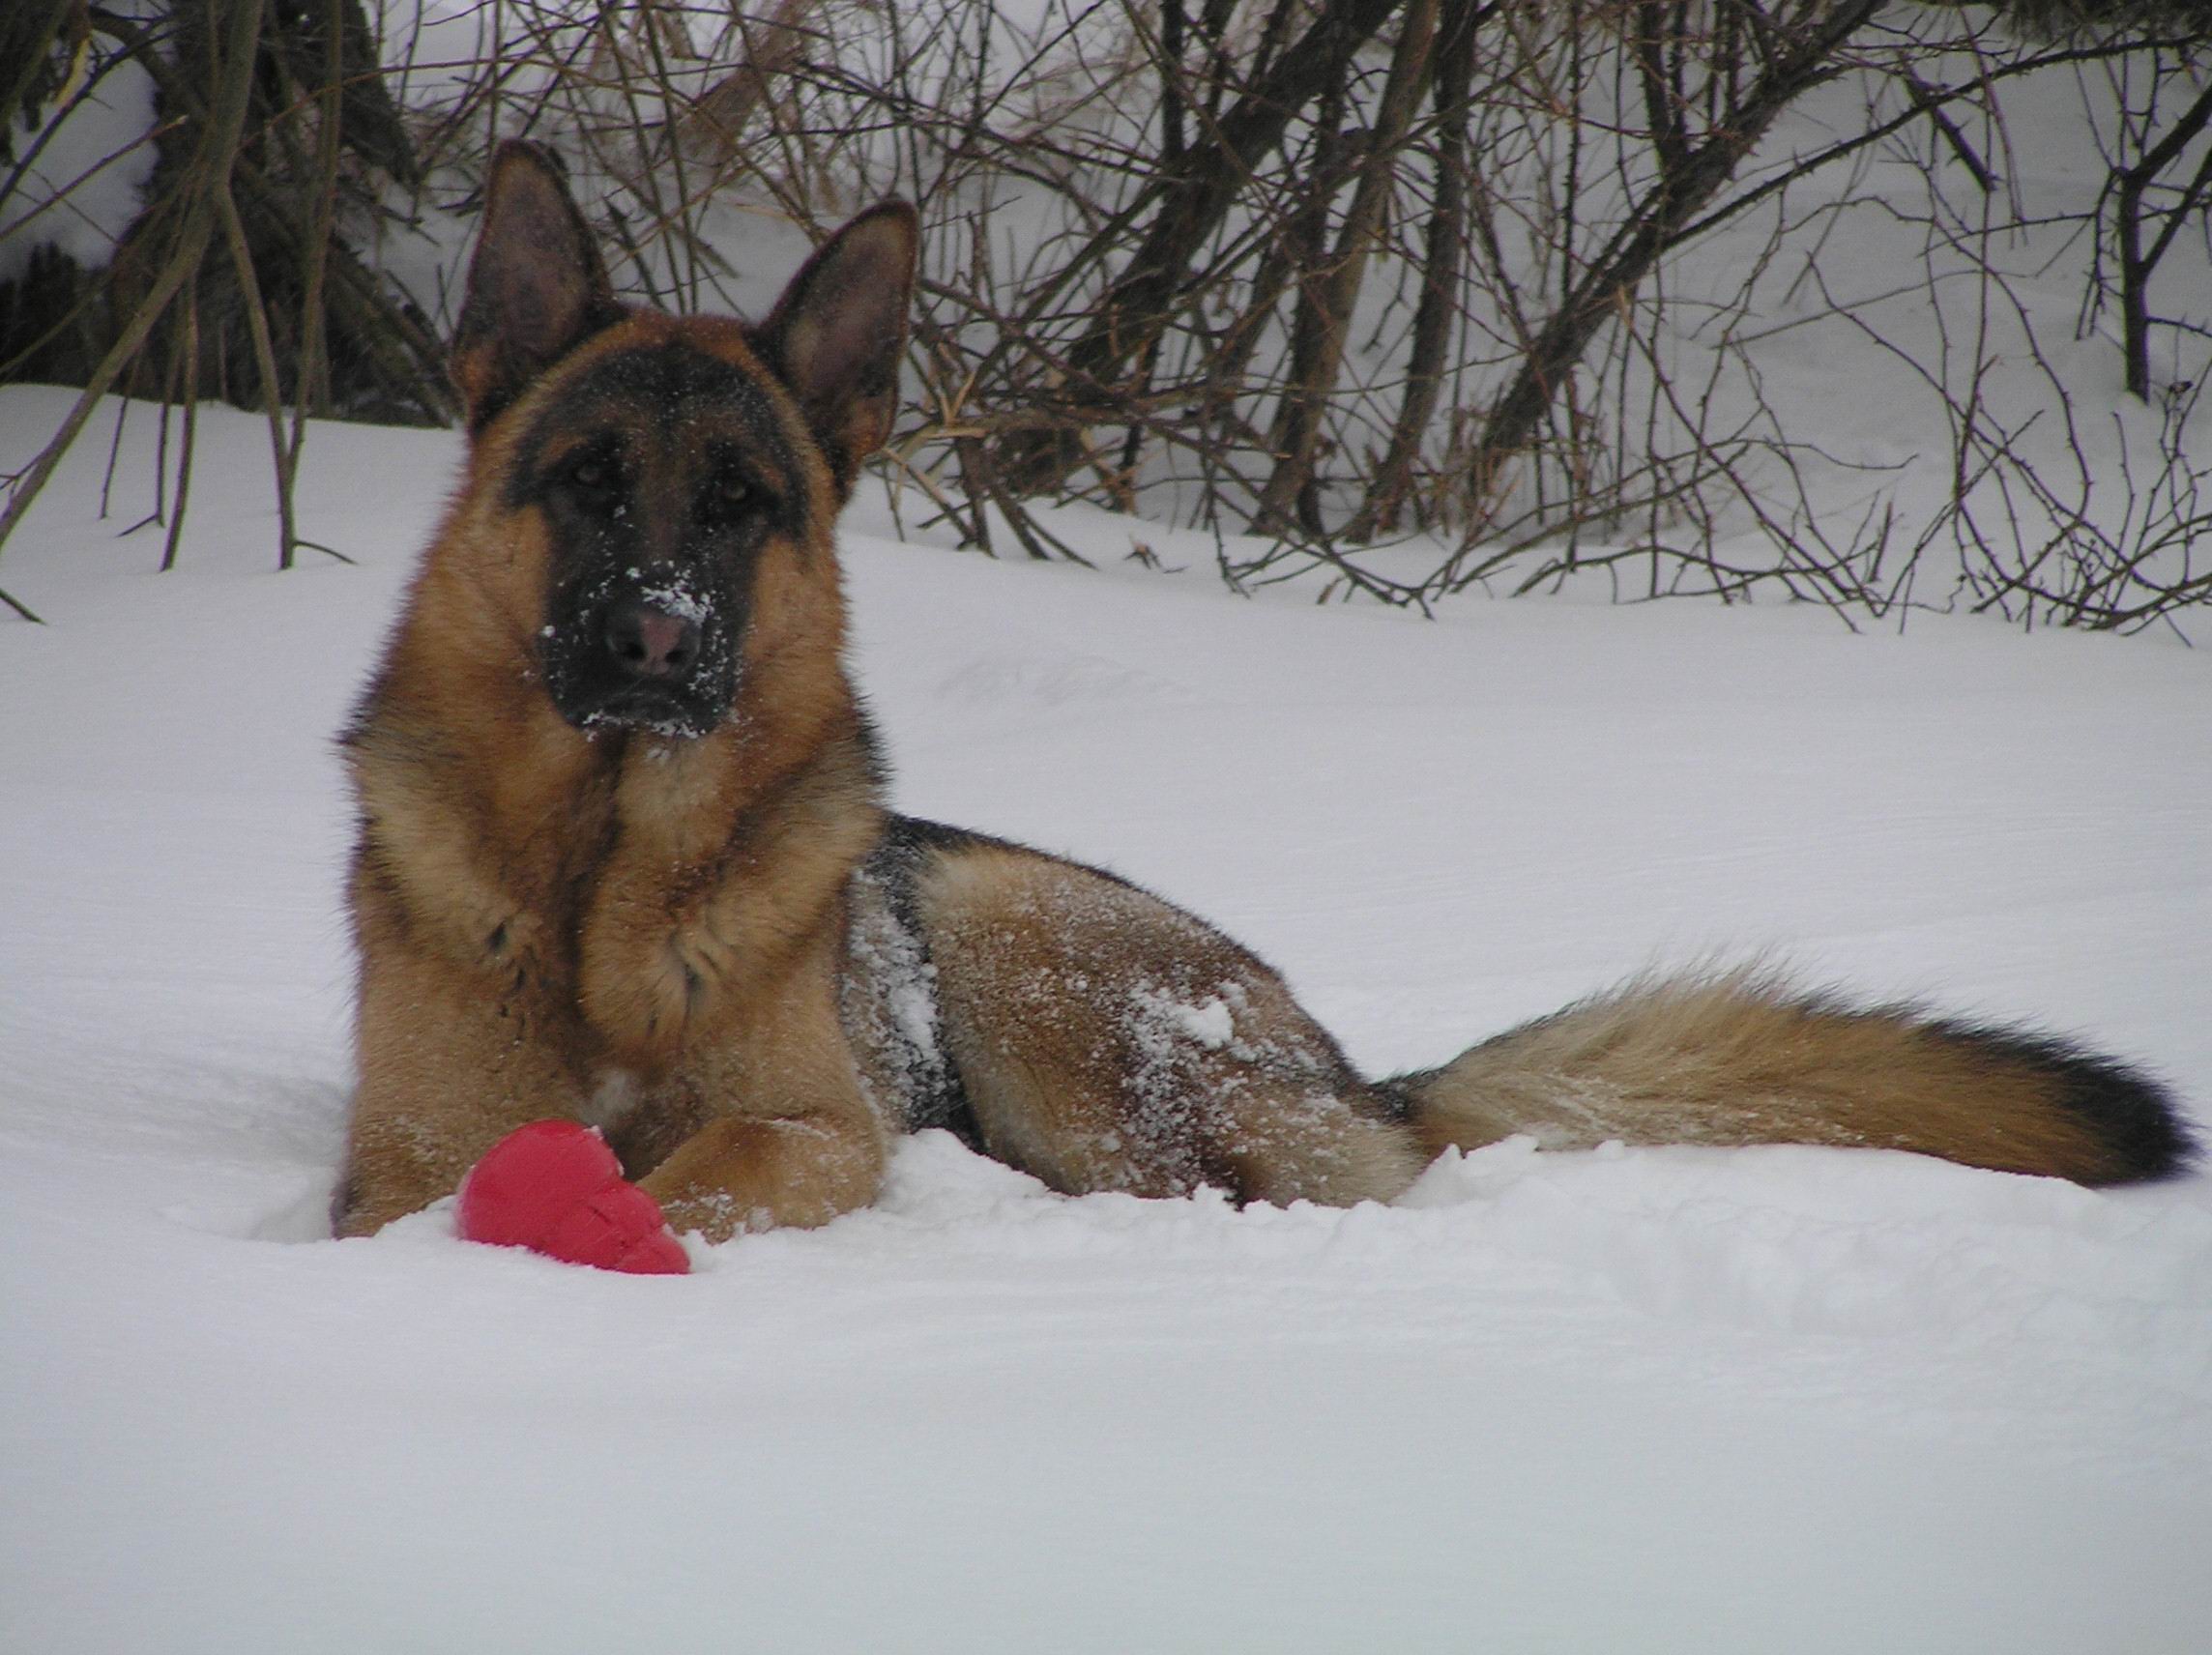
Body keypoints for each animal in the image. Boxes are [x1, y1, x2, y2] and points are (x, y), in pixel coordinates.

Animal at [327, 144, 2194, 1238]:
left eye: (738, 505)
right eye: (586, 482)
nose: (658, 642)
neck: (602, 875)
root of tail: (1351, 1068)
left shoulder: (817, 1126)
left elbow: (715, 1162)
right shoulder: (406, 1156)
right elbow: (457, 1190)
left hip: (1021, 957)